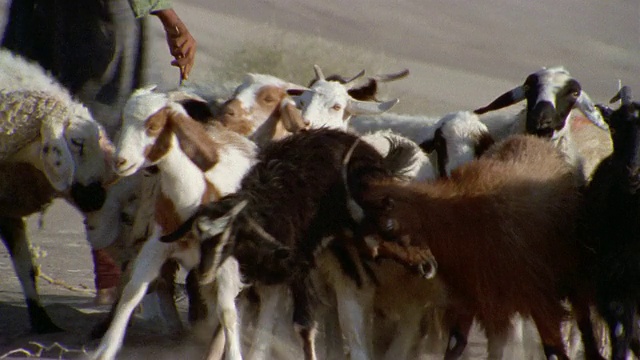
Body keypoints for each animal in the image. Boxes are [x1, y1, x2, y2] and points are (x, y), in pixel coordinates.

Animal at [88, 86, 258, 360]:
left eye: (153, 126)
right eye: (124, 121)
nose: (120, 162)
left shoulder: (227, 261)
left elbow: (228, 312)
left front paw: (233, 354)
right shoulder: (156, 246)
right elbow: (132, 292)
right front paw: (105, 349)